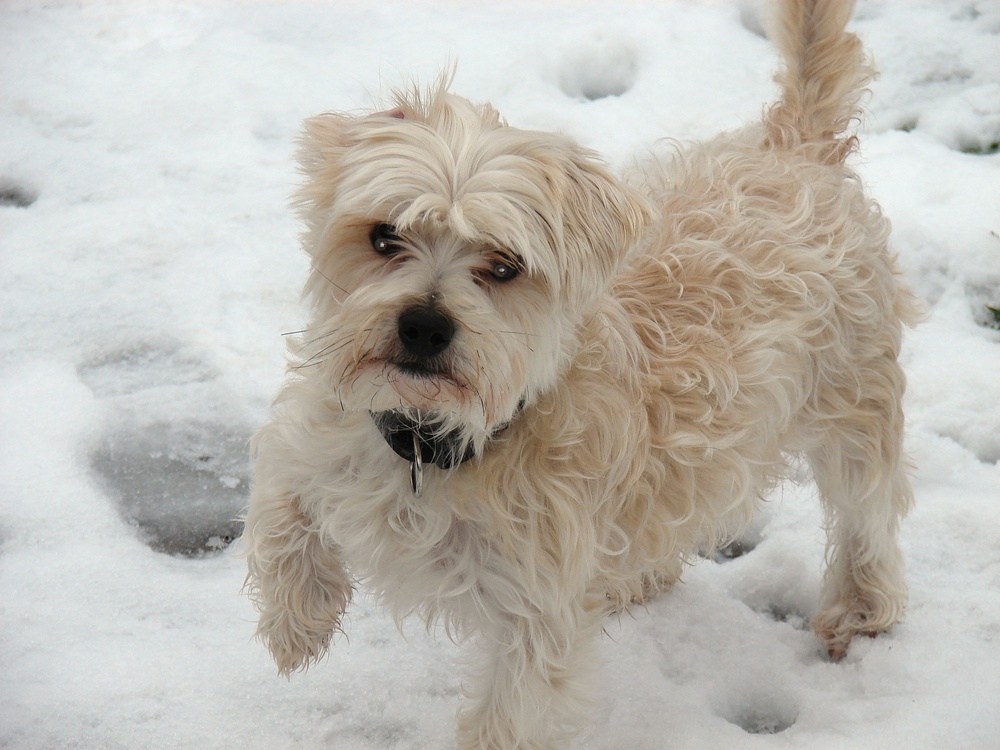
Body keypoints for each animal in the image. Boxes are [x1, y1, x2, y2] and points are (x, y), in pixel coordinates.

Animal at [244, 0, 920, 748]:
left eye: (504, 265)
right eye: (385, 236)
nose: (423, 326)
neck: (437, 439)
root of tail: (795, 144)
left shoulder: (536, 614)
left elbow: (507, 717)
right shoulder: (318, 434)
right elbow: (281, 506)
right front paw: (296, 622)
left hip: (855, 402)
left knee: (867, 513)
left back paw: (860, 608)